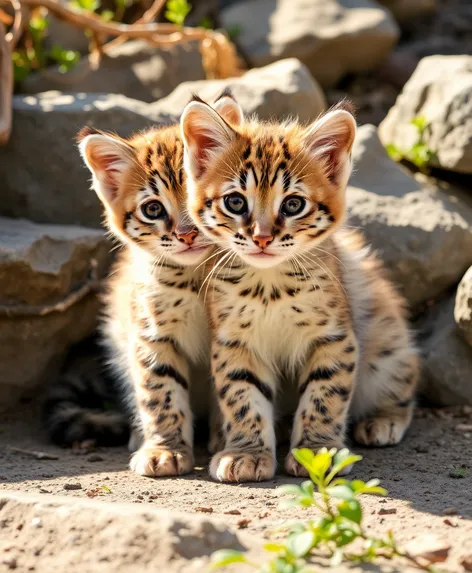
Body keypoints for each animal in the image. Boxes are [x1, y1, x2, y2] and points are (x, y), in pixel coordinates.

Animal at [181, 100, 420, 480]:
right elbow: (242, 395)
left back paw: (383, 420)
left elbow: (325, 395)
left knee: (404, 376)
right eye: (235, 202)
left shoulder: (335, 336)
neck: (268, 286)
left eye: (293, 204)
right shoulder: (235, 341)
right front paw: (246, 452)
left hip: (384, 344)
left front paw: (318, 453)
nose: (262, 238)